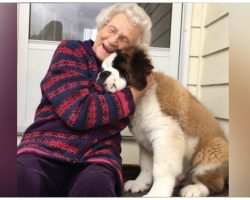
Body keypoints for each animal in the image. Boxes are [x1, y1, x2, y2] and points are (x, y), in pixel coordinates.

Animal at [96, 46, 229, 197]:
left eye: (119, 67)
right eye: (102, 68)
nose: (102, 74)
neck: (142, 99)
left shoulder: (166, 132)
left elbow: (162, 168)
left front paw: (157, 193)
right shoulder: (145, 140)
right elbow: (146, 165)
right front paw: (140, 183)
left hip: (213, 153)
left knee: (214, 184)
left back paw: (193, 189)